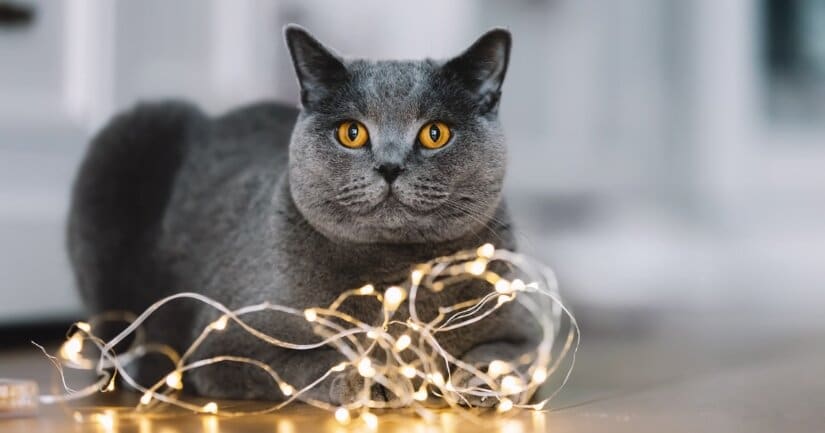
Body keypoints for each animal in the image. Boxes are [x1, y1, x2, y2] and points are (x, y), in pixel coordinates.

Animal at [67, 25, 536, 404]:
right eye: (352, 133)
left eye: (435, 133)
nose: (389, 166)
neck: (396, 275)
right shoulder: (226, 344)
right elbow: (315, 358)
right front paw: (372, 376)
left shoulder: (523, 328)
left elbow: (507, 355)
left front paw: (482, 380)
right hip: (129, 138)